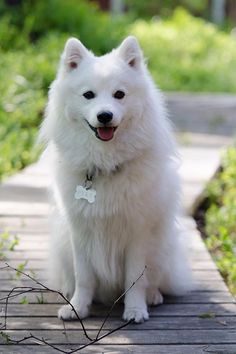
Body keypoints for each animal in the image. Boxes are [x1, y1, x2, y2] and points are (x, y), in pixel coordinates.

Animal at [39, 36, 191, 324]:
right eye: (88, 95)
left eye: (119, 94)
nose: (105, 116)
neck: (104, 164)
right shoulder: (80, 231)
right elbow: (84, 277)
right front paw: (78, 307)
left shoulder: (137, 233)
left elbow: (135, 278)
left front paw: (135, 310)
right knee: (71, 277)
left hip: (163, 247)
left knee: (155, 280)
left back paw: (153, 296)